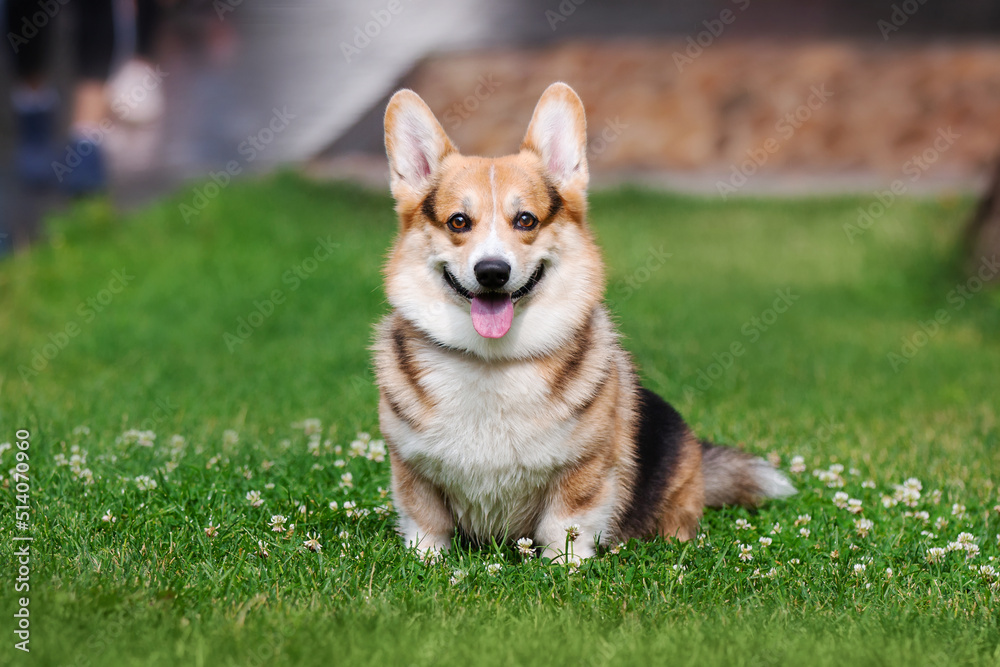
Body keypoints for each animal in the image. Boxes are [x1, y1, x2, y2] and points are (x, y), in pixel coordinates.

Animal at [372, 81, 792, 560]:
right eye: (459, 221)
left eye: (526, 220)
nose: (492, 272)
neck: (492, 361)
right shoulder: (412, 470)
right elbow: (426, 526)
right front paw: (426, 562)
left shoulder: (583, 472)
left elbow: (565, 528)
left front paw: (565, 567)